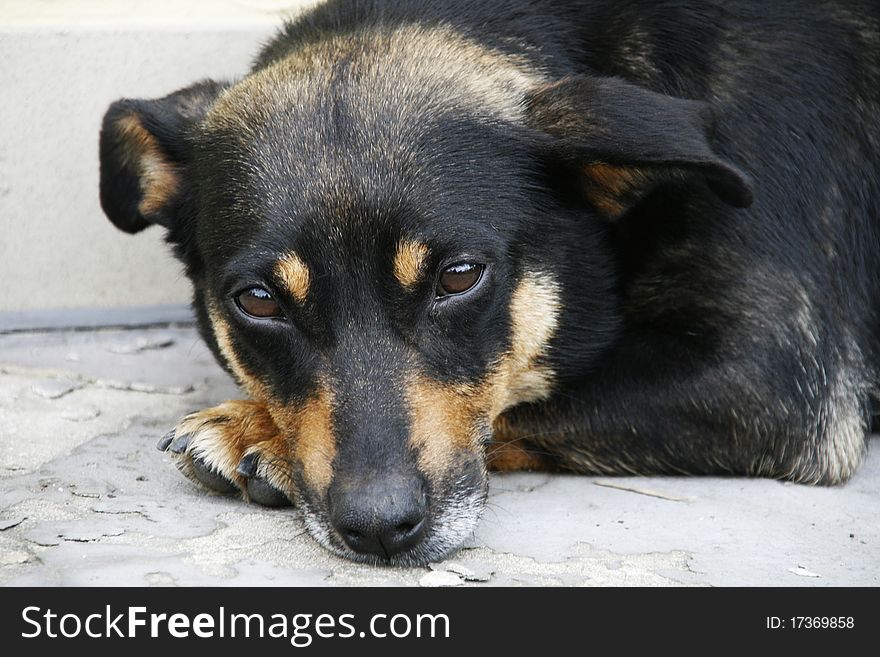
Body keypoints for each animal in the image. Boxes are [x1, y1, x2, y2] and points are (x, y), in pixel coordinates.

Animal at [98, 0, 880, 564]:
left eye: (459, 276)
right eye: (258, 300)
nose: (379, 529)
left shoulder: (771, 377)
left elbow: (530, 395)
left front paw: (246, 427)